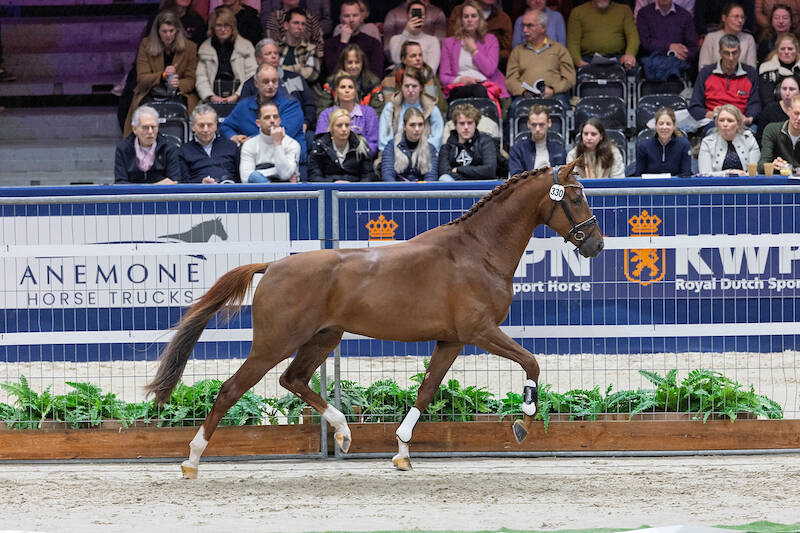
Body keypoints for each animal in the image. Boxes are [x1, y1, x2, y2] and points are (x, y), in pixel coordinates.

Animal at [145, 160, 604, 478]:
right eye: (575, 197)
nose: (596, 244)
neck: (476, 252)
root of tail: (272, 266)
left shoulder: (452, 340)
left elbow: (426, 390)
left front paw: (401, 452)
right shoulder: (481, 332)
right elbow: (531, 362)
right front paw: (524, 422)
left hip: (323, 338)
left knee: (293, 380)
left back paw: (344, 432)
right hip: (274, 343)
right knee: (232, 389)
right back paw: (192, 459)